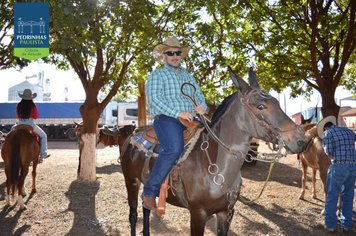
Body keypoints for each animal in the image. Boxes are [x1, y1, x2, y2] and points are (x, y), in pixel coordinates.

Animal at [119, 67, 306, 236]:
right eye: (260, 106)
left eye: (277, 102)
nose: (301, 140)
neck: (217, 167)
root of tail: (133, 133)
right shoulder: (198, 214)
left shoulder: (226, 213)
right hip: (131, 181)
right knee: (133, 215)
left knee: (146, 208)